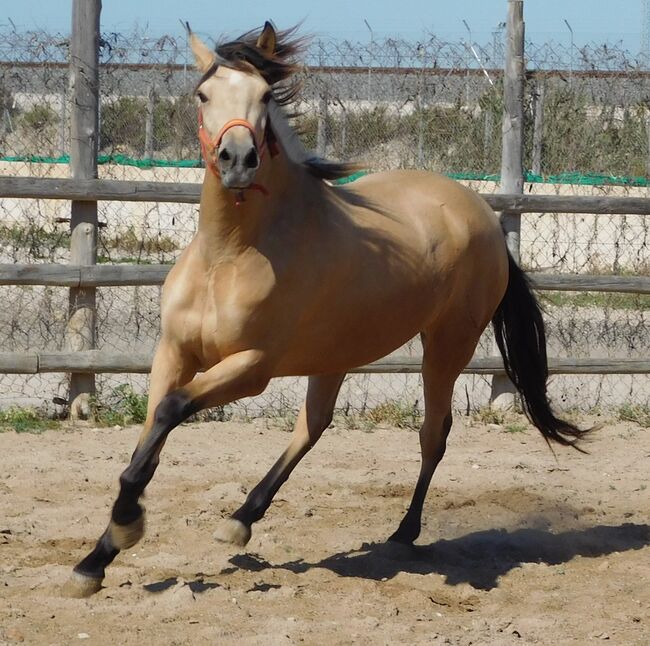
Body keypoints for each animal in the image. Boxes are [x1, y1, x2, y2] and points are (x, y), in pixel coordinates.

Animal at [63, 20, 584, 600]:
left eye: (265, 96)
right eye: (203, 95)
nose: (238, 160)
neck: (230, 255)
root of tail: (485, 216)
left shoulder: (253, 367)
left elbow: (172, 411)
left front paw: (124, 530)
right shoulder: (173, 353)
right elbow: (148, 440)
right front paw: (97, 558)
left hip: (447, 345)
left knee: (433, 434)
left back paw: (403, 533)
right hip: (337, 354)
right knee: (313, 426)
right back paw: (240, 520)